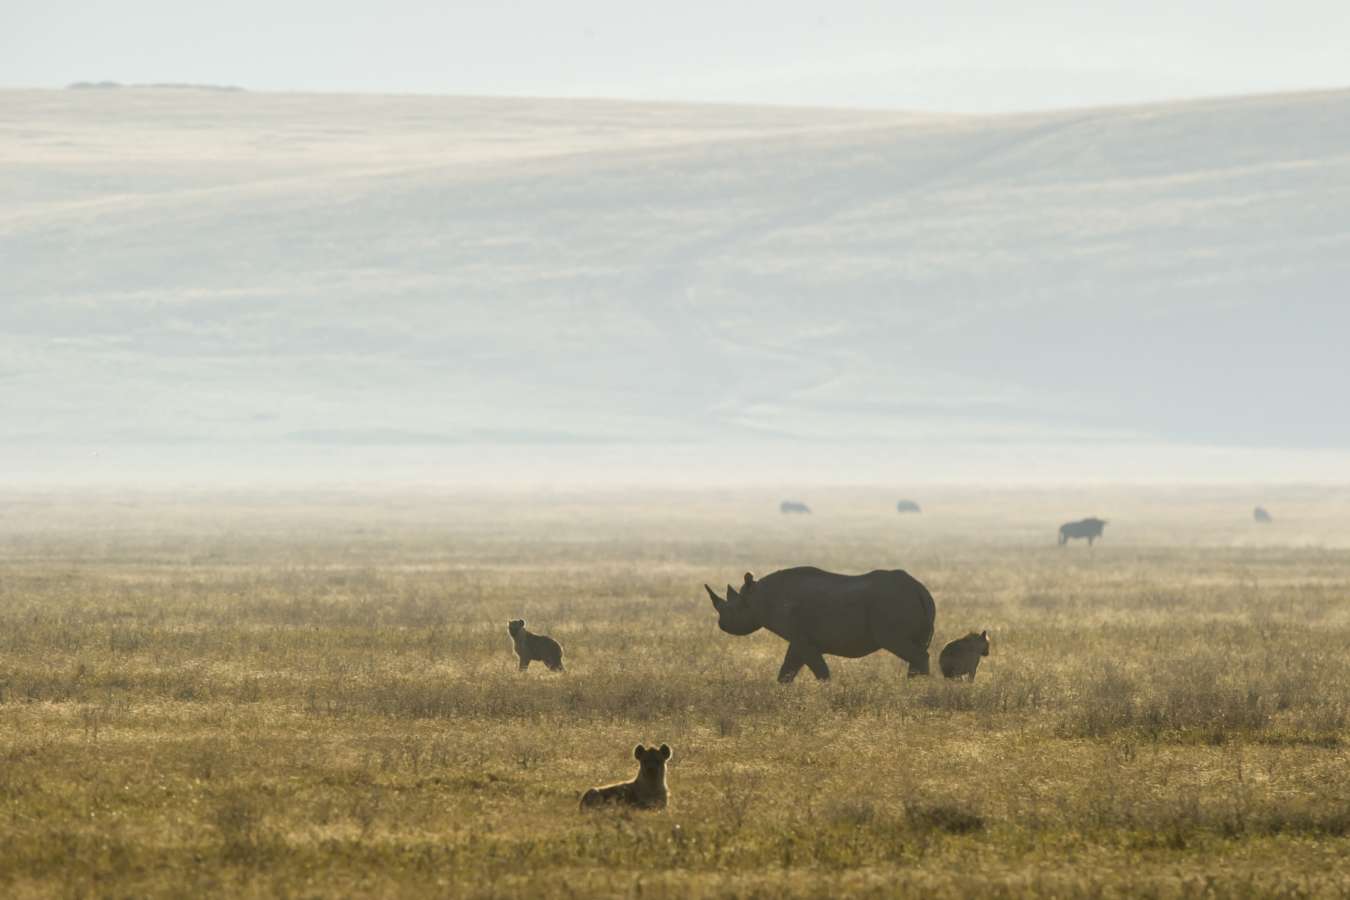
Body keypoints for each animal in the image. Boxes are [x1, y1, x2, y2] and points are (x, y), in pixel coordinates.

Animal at [705, 568, 936, 682]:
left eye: (735, 609)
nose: (722, 624)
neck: (759, 596)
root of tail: (921, 590)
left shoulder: (802, 639)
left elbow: (819, 670)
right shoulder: (798, 639)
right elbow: (788, 668)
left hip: (890, 605)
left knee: (903, 646)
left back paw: (916, 687)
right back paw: (915, 684)